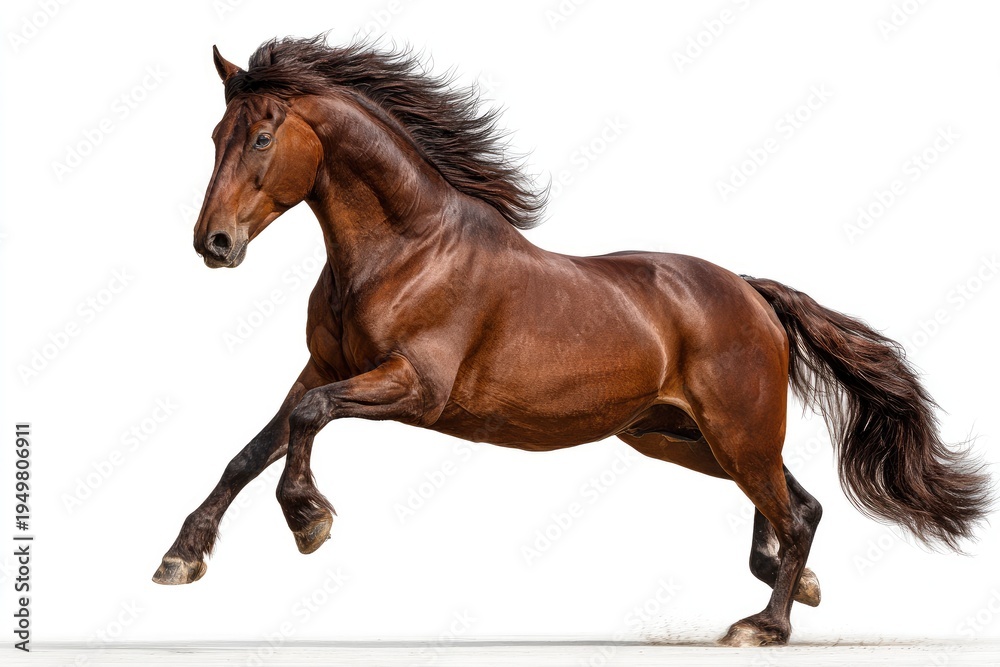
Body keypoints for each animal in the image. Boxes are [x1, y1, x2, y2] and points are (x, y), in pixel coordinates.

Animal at [152, 36, 991, 647]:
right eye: (215, 135)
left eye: (262, 137)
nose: (213, 243)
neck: (404, 251)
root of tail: (751, 290)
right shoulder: (323, 367)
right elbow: (252, 448)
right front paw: (181, 556)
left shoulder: (416, 386)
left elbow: (307, 419)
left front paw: (309, 520)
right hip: (678, 434)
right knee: (797, 504)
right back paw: (795, 586)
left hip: (735, 427)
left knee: (791, 511)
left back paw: (765, 624)